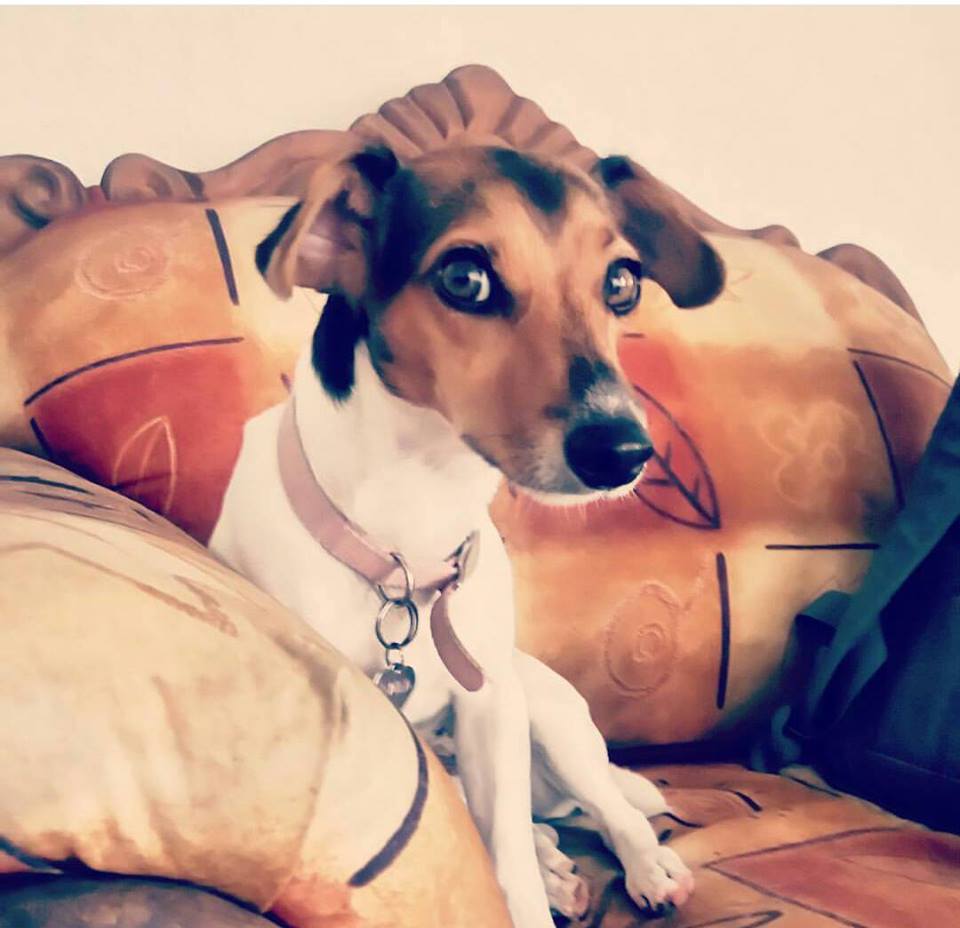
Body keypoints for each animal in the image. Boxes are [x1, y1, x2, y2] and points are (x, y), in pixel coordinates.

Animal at [208, 145, 720, 928]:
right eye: (464, 277)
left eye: (621, 282)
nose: (626, 452)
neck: (410, 530)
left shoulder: (491, 708)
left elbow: (509, 865)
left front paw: (539, 885)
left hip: (547, 712)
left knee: (611, 805)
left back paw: (645, 866)